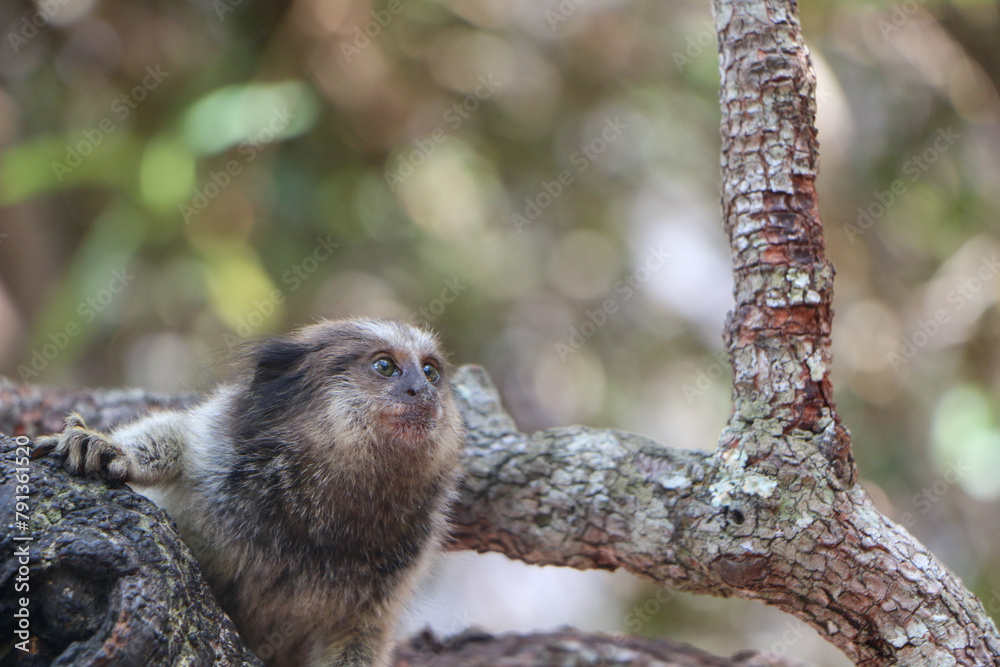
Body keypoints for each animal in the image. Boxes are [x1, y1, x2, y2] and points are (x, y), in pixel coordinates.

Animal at [35, 317, 465, 667]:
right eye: (385, 367)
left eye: (431, 372)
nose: (421, 390)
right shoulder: (221, 450)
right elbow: (179, 439)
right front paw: (110, 448)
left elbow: (357, 639)